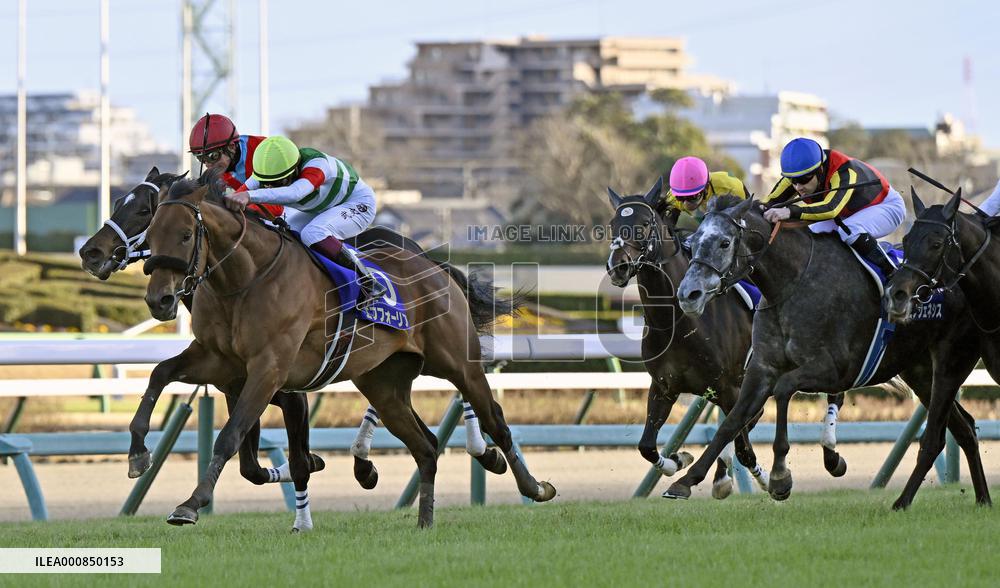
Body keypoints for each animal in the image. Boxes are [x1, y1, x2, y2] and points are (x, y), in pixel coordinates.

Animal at [138, 176, 555, 529]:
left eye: (186, 234)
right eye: (151, 234)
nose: (159, 300)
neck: (243, 281)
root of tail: (435, 268)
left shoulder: (269, 369)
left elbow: (231, 435)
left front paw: (191, 504)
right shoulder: (218, 360)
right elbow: (160, 374)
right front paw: (139, 454)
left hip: (458, 363)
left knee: (494, 420)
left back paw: (533, 486)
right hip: (384, 384)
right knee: (425, 446)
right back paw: (424, 520)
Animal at [605, 178, 770, 498]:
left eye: (644, 223)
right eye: (613, 224)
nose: (618, 266)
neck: (675, 324)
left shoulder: (729, 389)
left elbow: (741, 444)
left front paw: (768, 480)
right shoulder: (663, 387)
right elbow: (646, 446)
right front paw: (678, 460)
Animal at [666, 195, 990, 509]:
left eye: (725, 242)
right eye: (693, 241)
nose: (688, 294)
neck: (791, 282)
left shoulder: (834, 371)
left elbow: (783, 390)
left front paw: (781, 477)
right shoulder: (761, 368)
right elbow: (731, 422)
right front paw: (685, 481)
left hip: (952, 361)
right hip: (920, 372)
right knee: (964, 429)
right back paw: (982, 499)